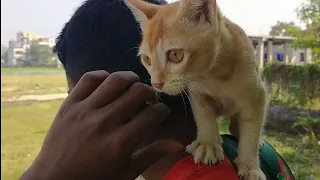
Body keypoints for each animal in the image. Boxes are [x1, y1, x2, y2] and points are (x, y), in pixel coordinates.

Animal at [125, 0, 268, 179]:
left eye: (175, 55)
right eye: (147, 59)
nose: (156, 84)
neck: (214, 74)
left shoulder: (256, 95)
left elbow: (251, 131)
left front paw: (250, 166)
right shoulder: (197, 92)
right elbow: (204, 116)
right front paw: (208, 144)